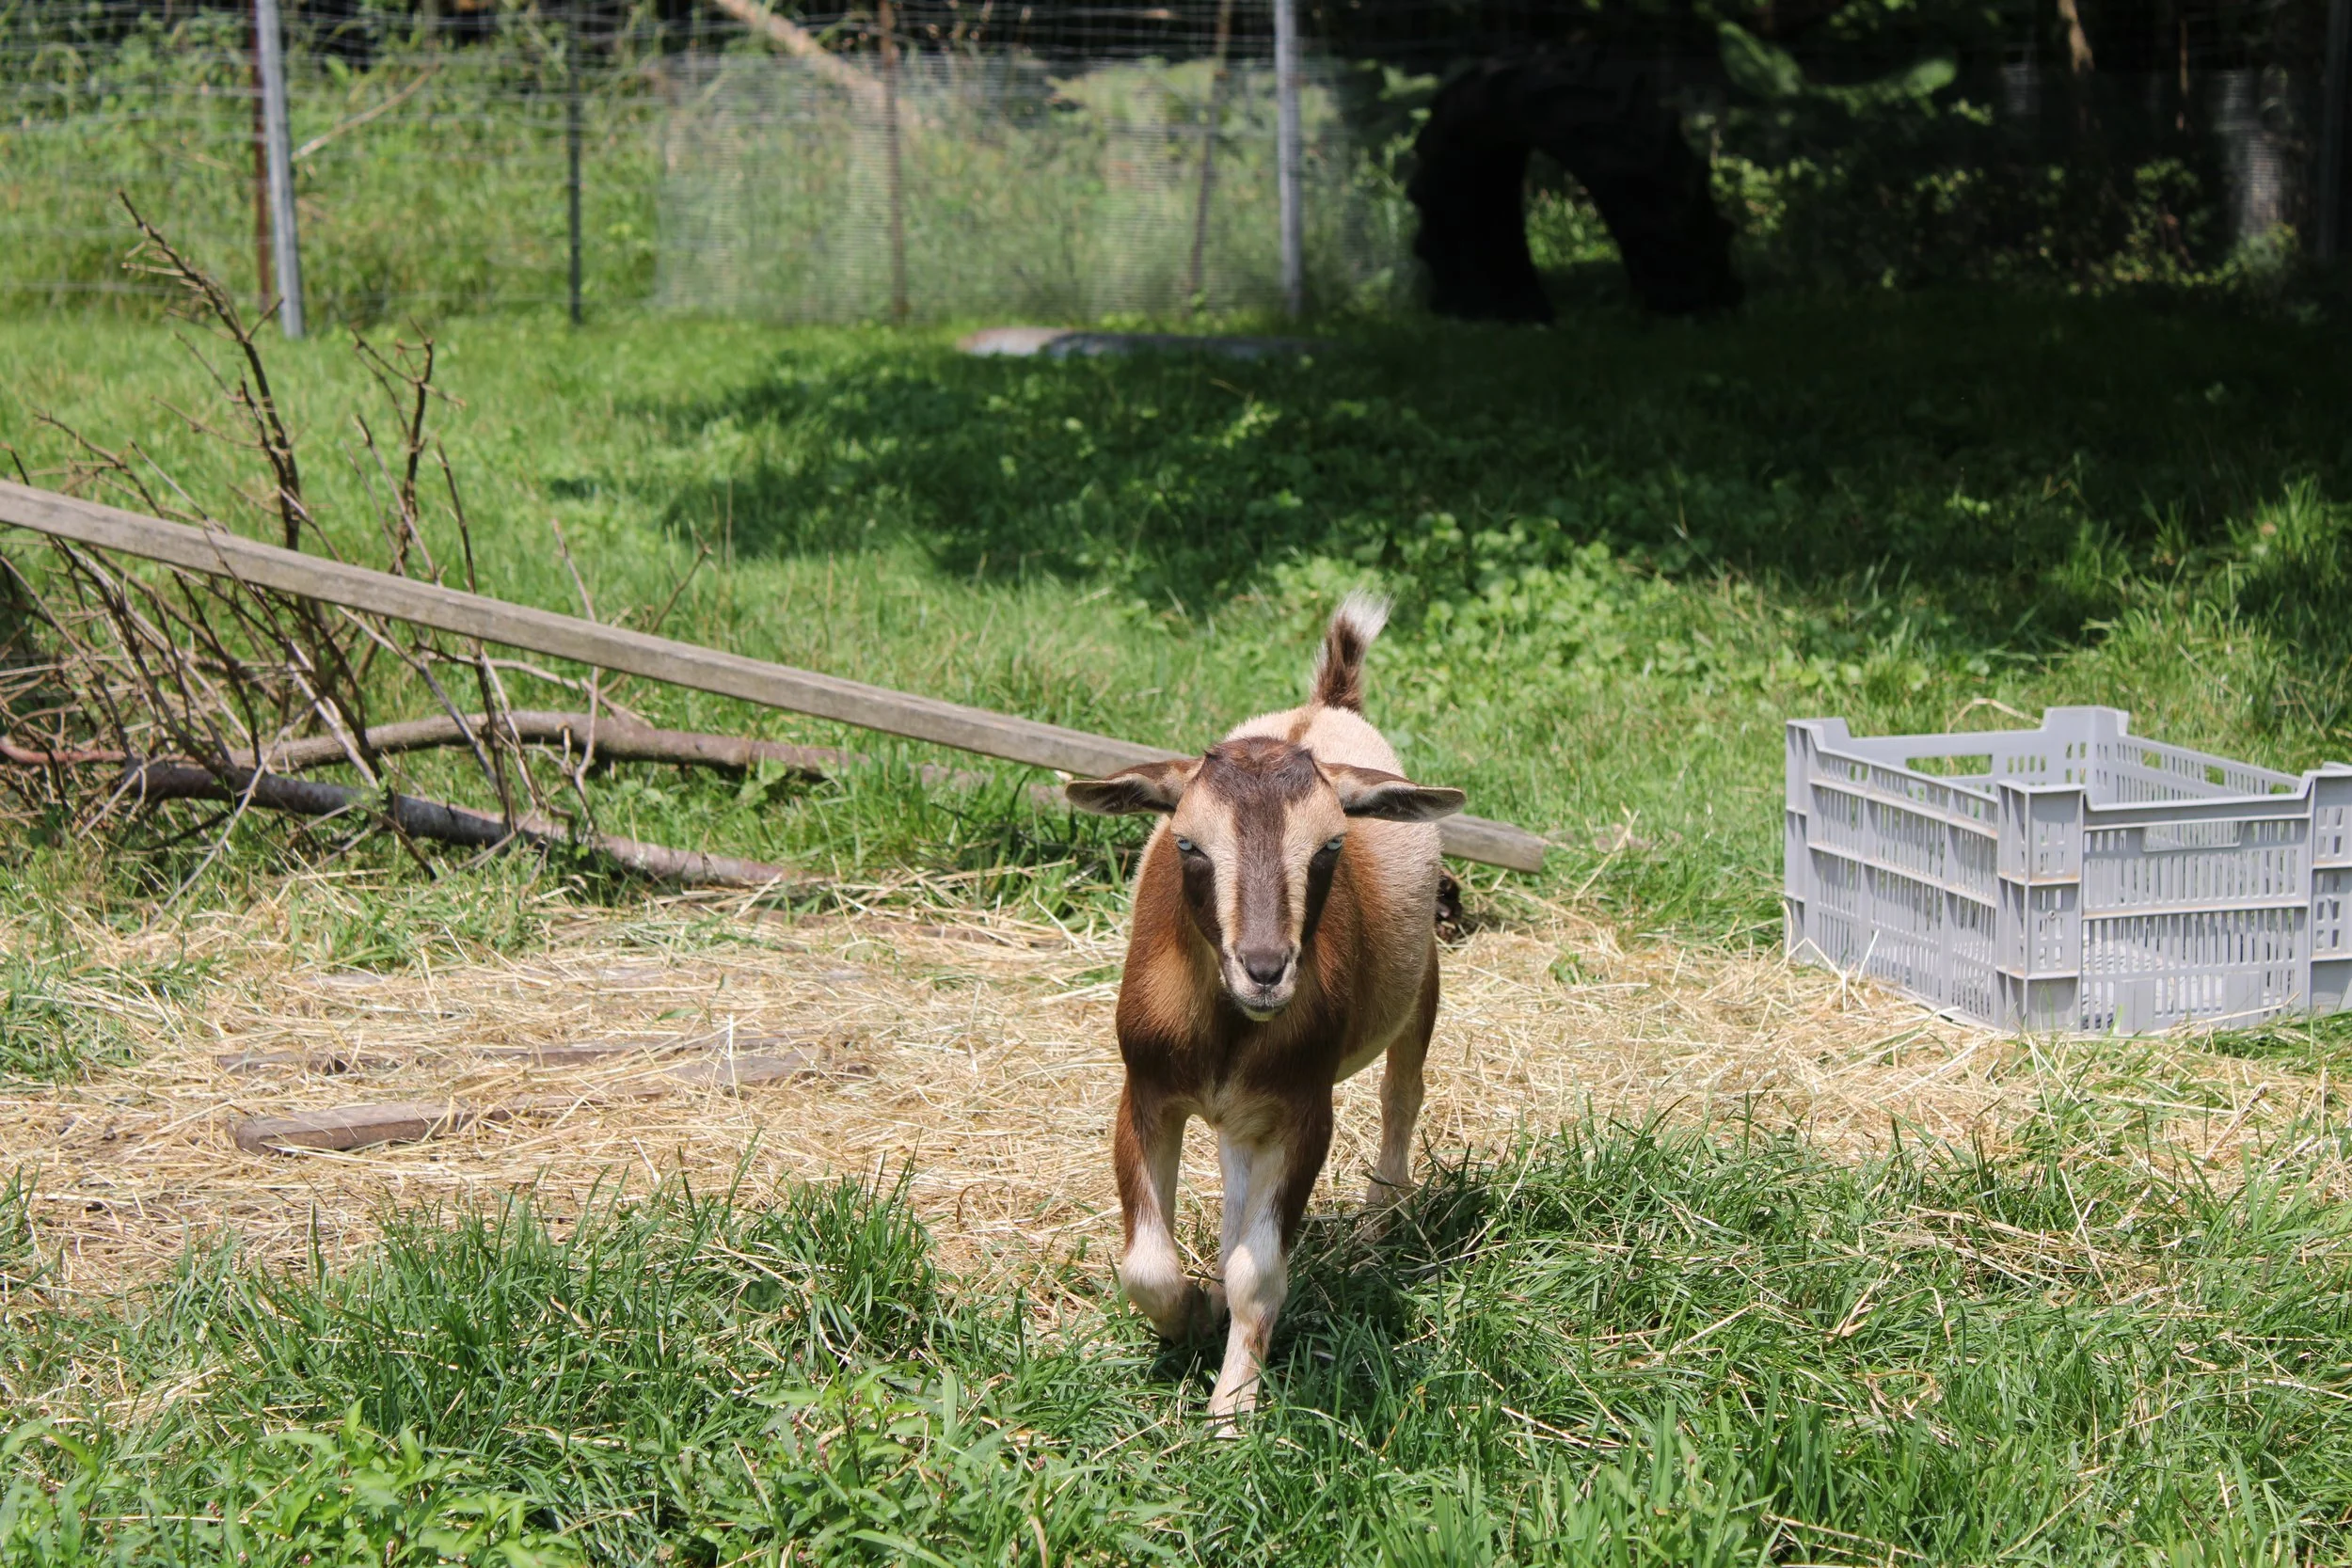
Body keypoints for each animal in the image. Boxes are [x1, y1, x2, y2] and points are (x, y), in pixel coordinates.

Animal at [1064, 594, 1464, 1422]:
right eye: (1187, 844)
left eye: (1331, 847)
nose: (1265, 970)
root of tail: (1329, 702)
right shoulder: (1145, 1092)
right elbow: (1146, 1264)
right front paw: (1191, 1312)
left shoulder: (1303, 1109)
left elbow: (1260, 1271)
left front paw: (1230, 1412)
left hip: (1420, 982)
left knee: (1402, 1093)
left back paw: (1379, 1223)